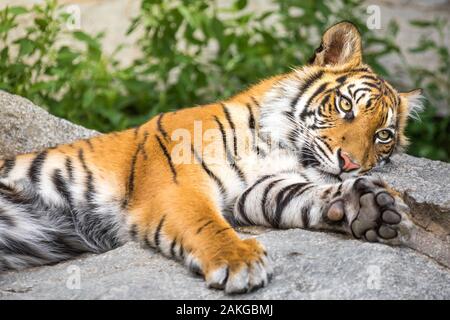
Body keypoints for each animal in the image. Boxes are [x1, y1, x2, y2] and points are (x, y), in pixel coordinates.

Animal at [0, 21, 422, 294]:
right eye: (346, 105)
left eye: (383, 135)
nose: (351, 164)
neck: (278, 148)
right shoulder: (176, 184)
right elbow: (205, 222)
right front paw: (238, 261)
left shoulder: (256, 191)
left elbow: (303, 197)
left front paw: (368, 207)